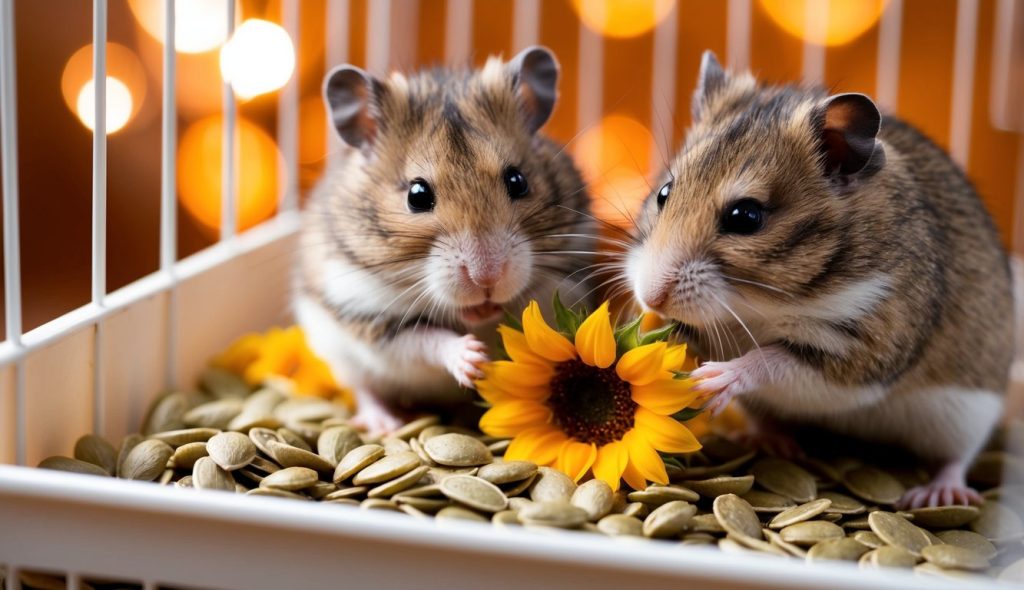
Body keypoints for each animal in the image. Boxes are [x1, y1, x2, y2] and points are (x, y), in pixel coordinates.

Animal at [295, 47, 593, 435]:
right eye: (417, 195)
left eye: (518, 181)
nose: (487, 280)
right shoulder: (370, 315)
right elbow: (424, 340)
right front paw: (474, 359)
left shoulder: (563, 282)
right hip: (341, 354)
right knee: (364, 387)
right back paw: (385, 424)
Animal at [627, 51, 1014, 508]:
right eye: (664, 193)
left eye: (746, 217)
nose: (651, 299)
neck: (758, 305)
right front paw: (648, 333)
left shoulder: (861, 349)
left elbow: (773, 361)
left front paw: (713, 380)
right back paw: (770, 439)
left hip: (968, 414)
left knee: (958, 457)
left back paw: (936, 494)